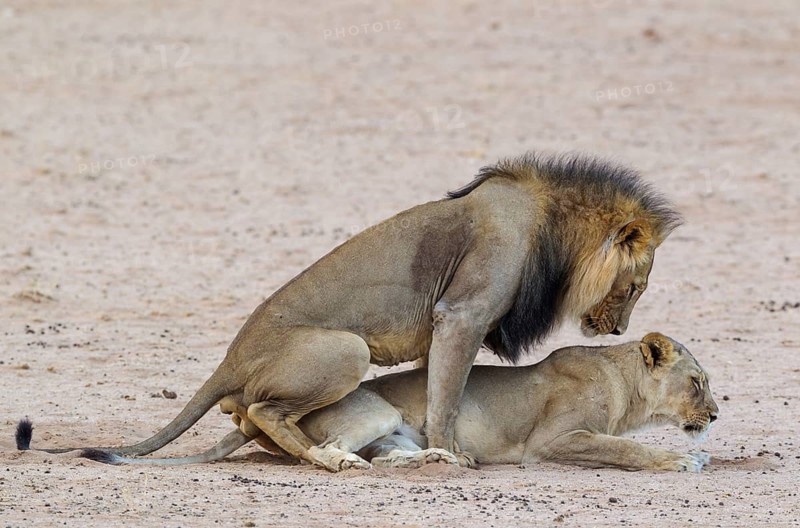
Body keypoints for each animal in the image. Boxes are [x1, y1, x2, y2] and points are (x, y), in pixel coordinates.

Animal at [17, 152, 681, 468]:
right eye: (635, 288)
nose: (621, 329)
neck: (552, 228)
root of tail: (229, 360)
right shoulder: (462, 314)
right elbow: (447, 395)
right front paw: (451, 454)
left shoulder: (455, 323)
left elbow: (443, 391)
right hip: (348, 348)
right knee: (263, 410)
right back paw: (328, 458)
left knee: (252, 418)